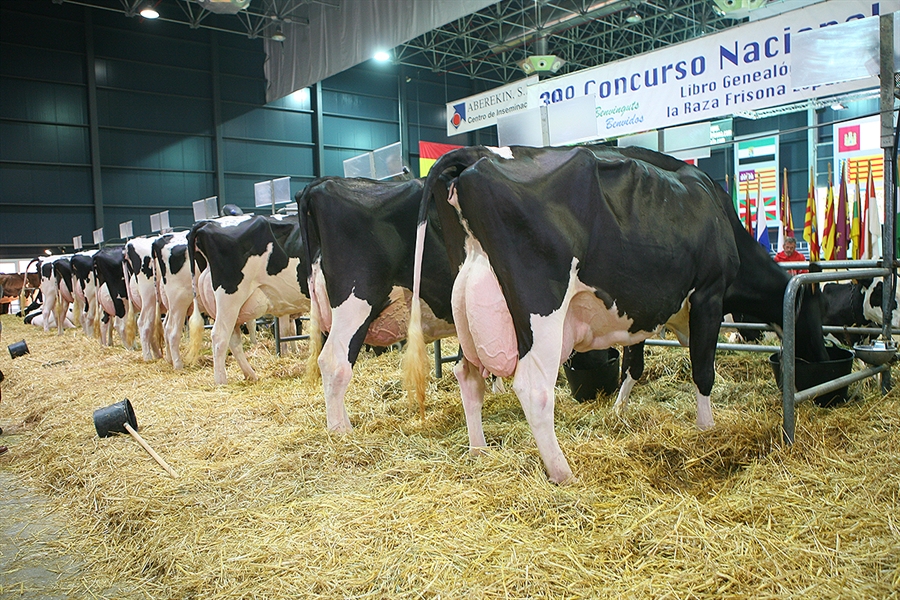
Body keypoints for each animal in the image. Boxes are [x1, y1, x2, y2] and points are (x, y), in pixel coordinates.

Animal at [186, 213, 310, 386]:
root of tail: (208, 223)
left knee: (234, 339)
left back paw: (250, 374)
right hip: (230, 298)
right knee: (220, 336)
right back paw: (221, 382)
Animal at [404, 148, 828, 486]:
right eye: (818, 319)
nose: (823, 358)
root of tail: (475, 160)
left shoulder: (643, 310)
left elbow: (634, 363)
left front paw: (619, 408)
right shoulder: (709, 293)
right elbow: (703, 370)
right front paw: (707, 429)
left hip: (468, 308)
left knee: (468, 376)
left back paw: (479, 450)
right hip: (541, 310)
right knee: (533, 388)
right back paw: (563, 472)